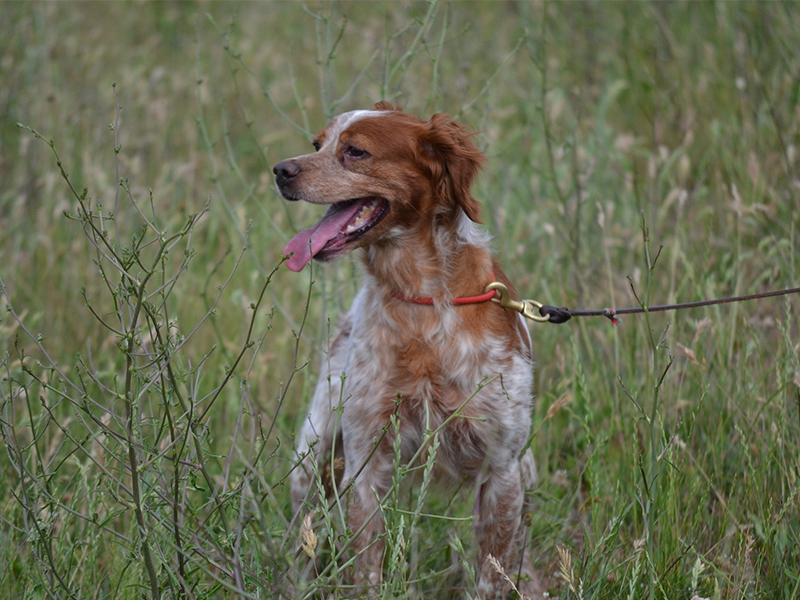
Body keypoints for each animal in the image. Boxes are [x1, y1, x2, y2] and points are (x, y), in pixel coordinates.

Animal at [272, 101, 540, 596]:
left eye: (355, 151)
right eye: (318, 144)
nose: (281, 170)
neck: (422, 300)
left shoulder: (502, 469)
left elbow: (492, 572)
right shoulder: (366, 465)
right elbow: (367, 570)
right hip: (311, 458)